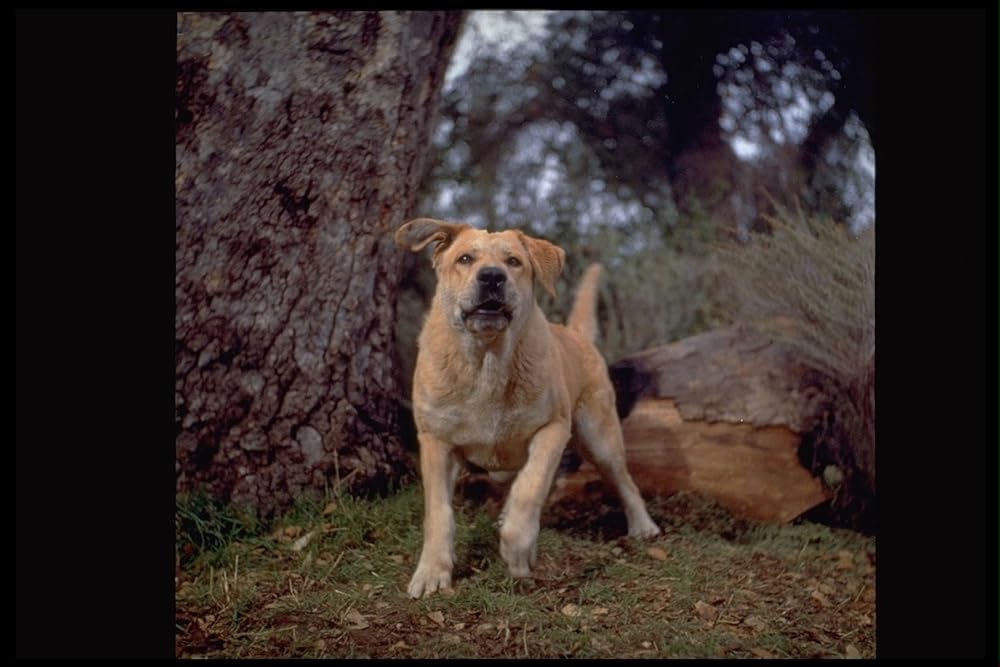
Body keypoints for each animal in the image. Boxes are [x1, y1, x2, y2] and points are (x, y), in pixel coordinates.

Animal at [394, 219, 660, 600]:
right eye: (465, 258)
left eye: (513, 261)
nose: (492, 277)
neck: (486, 362)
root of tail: (576, 334)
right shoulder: (435, 441)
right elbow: (439, 513)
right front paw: (432, 572)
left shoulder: (552, 429)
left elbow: (530, 488)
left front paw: (517, 549)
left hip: (600, 437)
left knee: (624, 481)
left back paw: (643, 526)